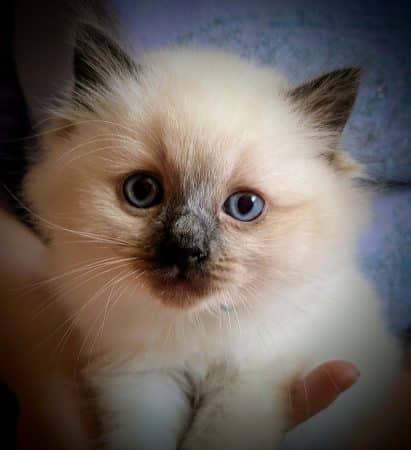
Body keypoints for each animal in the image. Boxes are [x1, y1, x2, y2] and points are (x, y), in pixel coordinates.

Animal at [23, 24, 402, 450]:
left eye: (245, 206)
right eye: (142, 191)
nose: (185, 250)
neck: (195, 328)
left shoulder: (249, 379)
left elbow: (216, 437)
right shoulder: (140, 375)